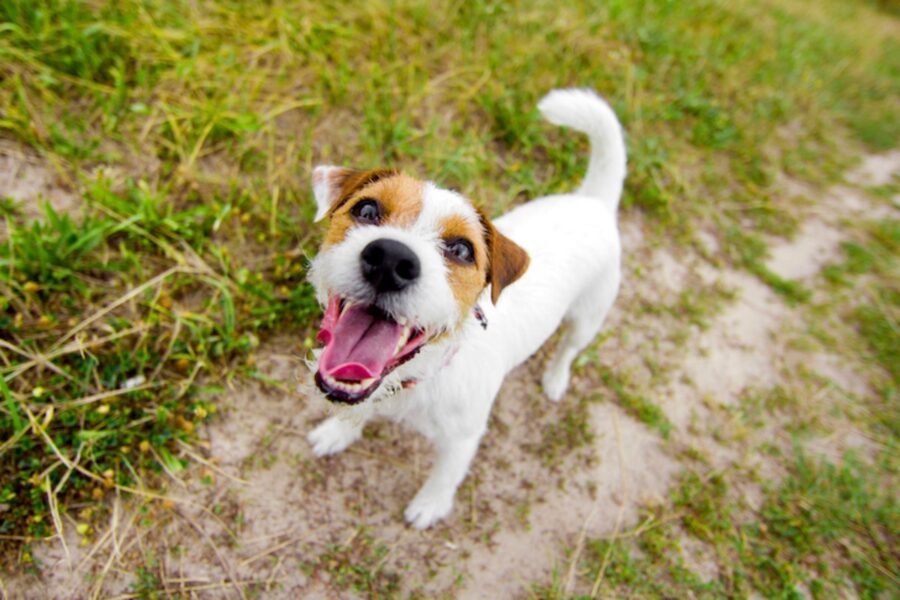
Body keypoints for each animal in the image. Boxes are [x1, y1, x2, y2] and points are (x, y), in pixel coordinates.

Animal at [306, 86, 624, 528]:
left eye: (461, 250)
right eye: (366, 210)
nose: (390, 260)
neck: (425, 373)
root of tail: (594, 202)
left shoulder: (463, 438)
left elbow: (446, 475)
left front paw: (429, 504)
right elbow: (358, 409)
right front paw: (339, 431)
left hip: (588, 316)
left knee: (569, 348)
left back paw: (555, 378)